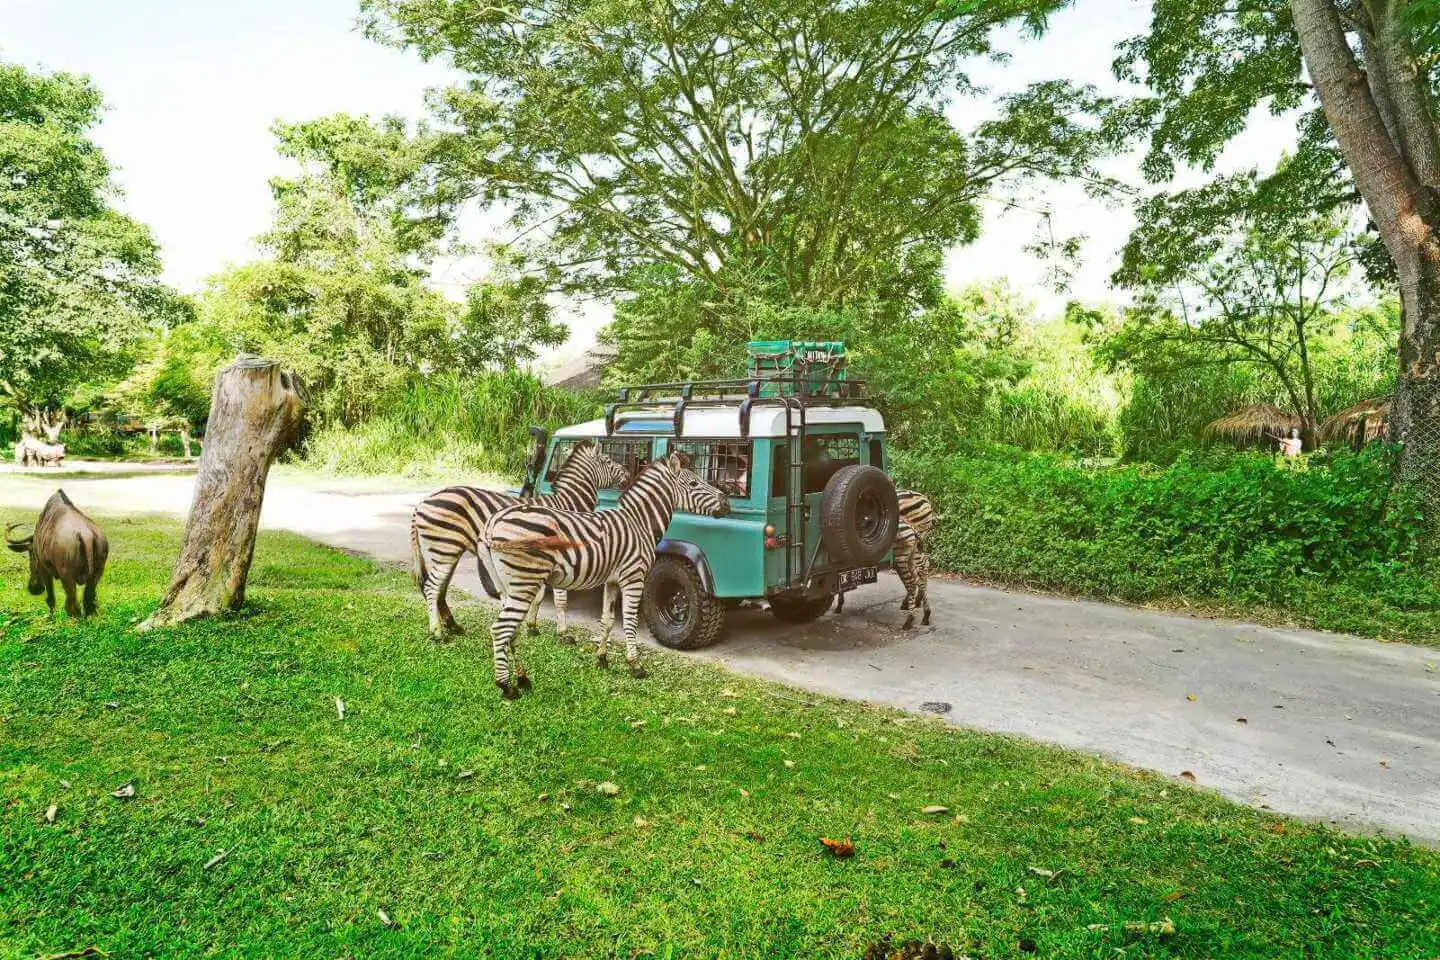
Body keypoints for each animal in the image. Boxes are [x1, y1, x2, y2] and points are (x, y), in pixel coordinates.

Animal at [408, 440, 627, 639]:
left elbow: (539, 597)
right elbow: (560, 598)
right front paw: (563, 633)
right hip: (445, 548)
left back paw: (452, 626)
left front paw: (532, 626)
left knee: (440, 588)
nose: (627, 476)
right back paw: (437, 633)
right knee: (432, 587)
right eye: (608, 461)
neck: (568, 504)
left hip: (448, 551)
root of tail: (421, 503)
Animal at [483, 451, 731, 699]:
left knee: (510, 630)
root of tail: (494, 521)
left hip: (509, 585)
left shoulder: (612, 581)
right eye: (694, 484)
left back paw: (522, 679)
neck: (640, 523)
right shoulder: (633, 578)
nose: (727, 503)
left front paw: (601, 659)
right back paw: (506, 686)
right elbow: (630, 621)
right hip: (525, 581)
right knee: (500, 629)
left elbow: (608, 620)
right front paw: (635, 665)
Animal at [835, 489, 933, 630]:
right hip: (916, 544)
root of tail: (923, 498)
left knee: (921, 568)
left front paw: (838, 604)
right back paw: (917, 604)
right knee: (921, 567)